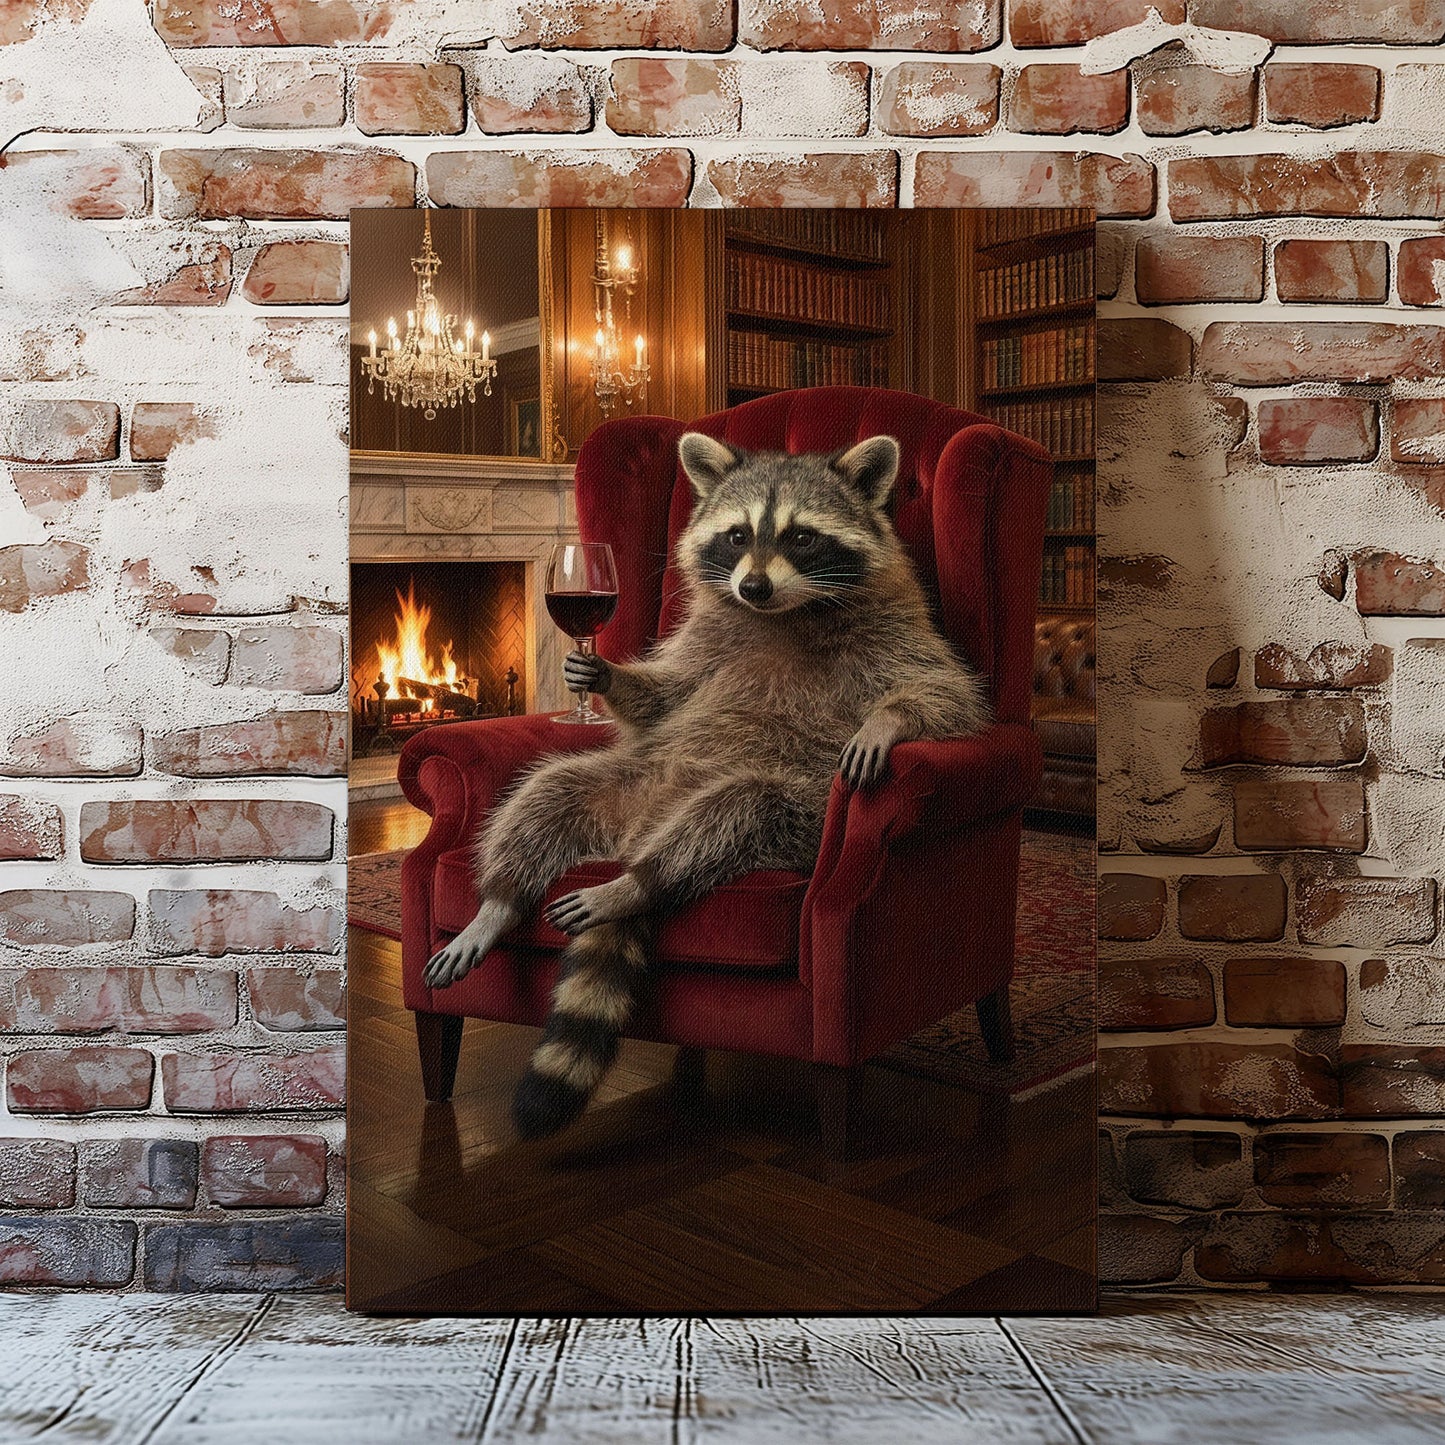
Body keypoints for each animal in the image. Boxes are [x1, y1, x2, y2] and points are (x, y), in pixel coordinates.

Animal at [423, 432, 990, 1139]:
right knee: (550, 790)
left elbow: (950, 694)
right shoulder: (704, 639)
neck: (786, 610)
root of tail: (638, 834)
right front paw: (607, 675)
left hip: (793, 816)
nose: (753, 585)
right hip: (626, 782)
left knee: (733, 815)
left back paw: (637, 884)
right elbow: (668, 697)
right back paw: (497, 903)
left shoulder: (898, 633)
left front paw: (888, 721)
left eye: (801, 537)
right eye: (737, 534)